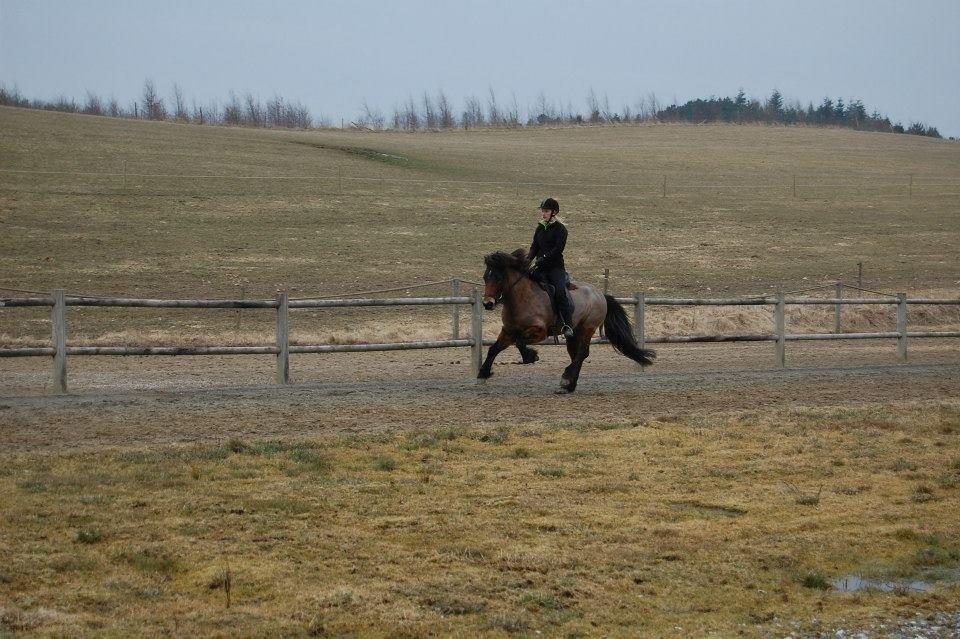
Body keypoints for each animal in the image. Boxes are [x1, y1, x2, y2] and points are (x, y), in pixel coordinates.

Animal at [478, 249, 656, 390]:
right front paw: (483, 372)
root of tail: (600, 294)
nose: (487, 304)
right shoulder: (508, 331)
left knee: (582, 353)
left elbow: (520, 342)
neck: (522, 298)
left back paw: (566, 379)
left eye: (499, 278)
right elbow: (494, 348)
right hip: (573, 333)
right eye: (485, 277)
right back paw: (570, 385)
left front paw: (531, 356)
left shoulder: (539, 331)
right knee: (576, 355)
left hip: (587, 329)